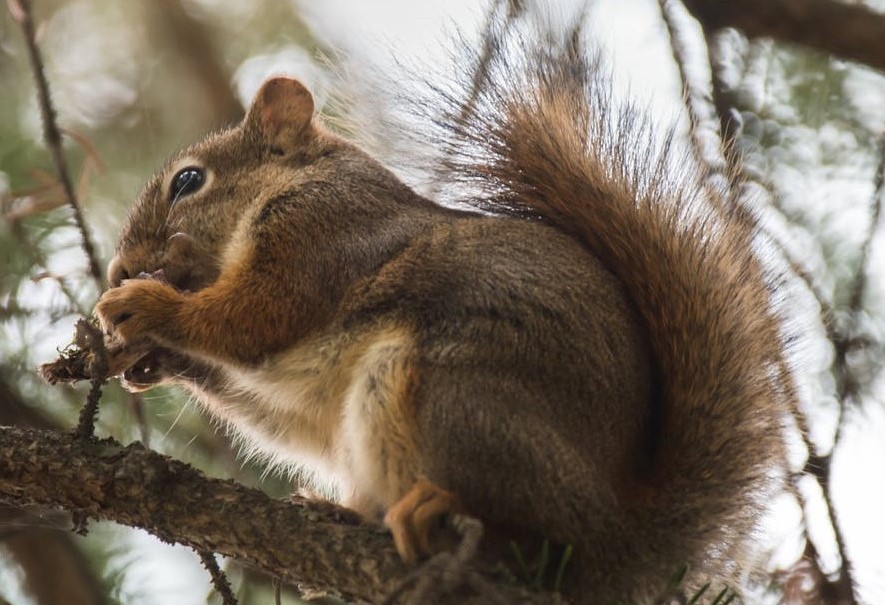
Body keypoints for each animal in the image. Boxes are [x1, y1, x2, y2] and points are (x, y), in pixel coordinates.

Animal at [93, 17, 792, 605]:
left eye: (188, 181)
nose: (119, 268)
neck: (296, 179)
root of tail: (620, 531)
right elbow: (267, 397)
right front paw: (152, 358)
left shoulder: (322, 232)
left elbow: (254, 315)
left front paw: (146, 304)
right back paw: (342, 510)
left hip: (459, 398)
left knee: (536, 532)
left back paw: (444, 510)